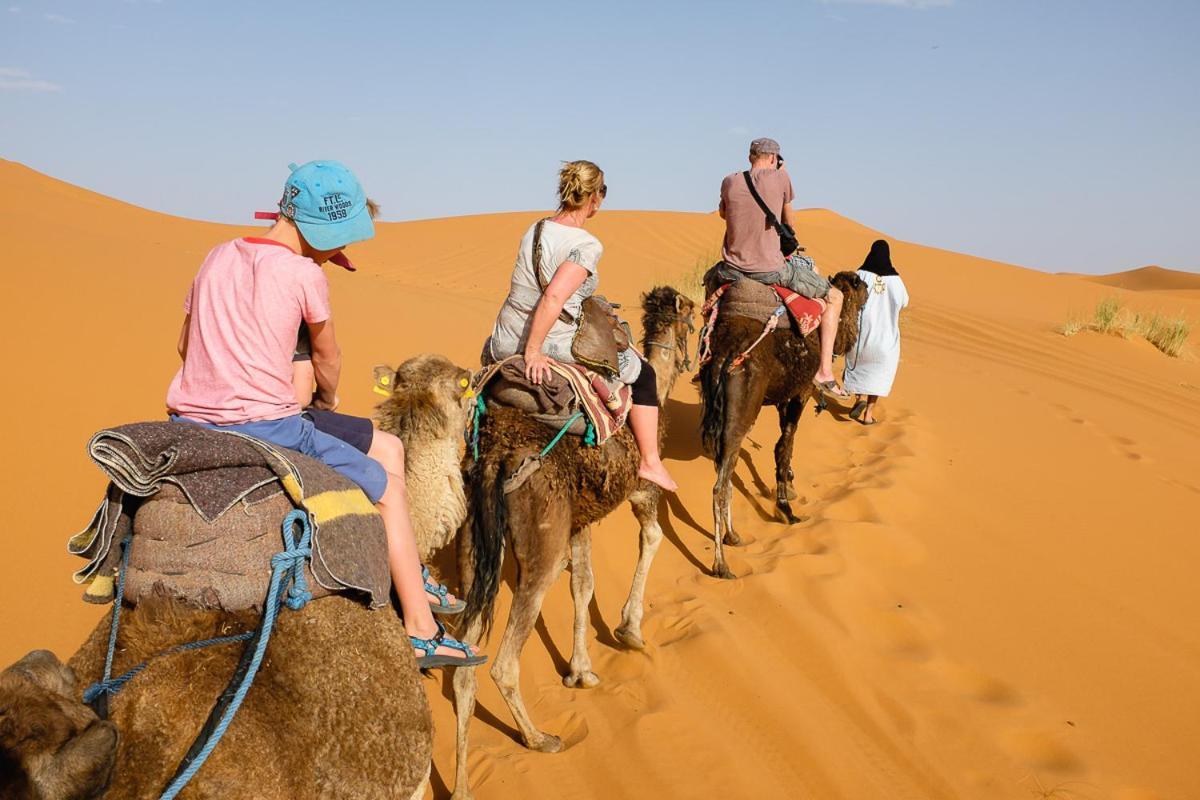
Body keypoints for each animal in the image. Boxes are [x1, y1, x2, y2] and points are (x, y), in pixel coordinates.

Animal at [448, 284, 696, 796]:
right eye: (695, 319)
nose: (695, 360)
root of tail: (495, 459)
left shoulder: (579, 521)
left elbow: (583, 584)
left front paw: (581, 671)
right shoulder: (642, 490)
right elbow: (653, 538)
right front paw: (630, 631)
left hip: (472, 546)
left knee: (466, 666)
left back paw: (462, 786)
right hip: (541, 545)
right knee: (504, 661)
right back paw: (540, 738)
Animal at [700, 268, 868, 575]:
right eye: (860, 284)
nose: (871, 290)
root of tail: (724, 357)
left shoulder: (782, 398)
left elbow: (782, 441)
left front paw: (789, 484)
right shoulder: (801, 392)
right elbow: (785, 443)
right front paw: (786, 508)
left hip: (722, 411)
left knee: (726, 474)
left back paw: (734, 536)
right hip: (743, 407)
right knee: (720, 485)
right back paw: (721, 564)